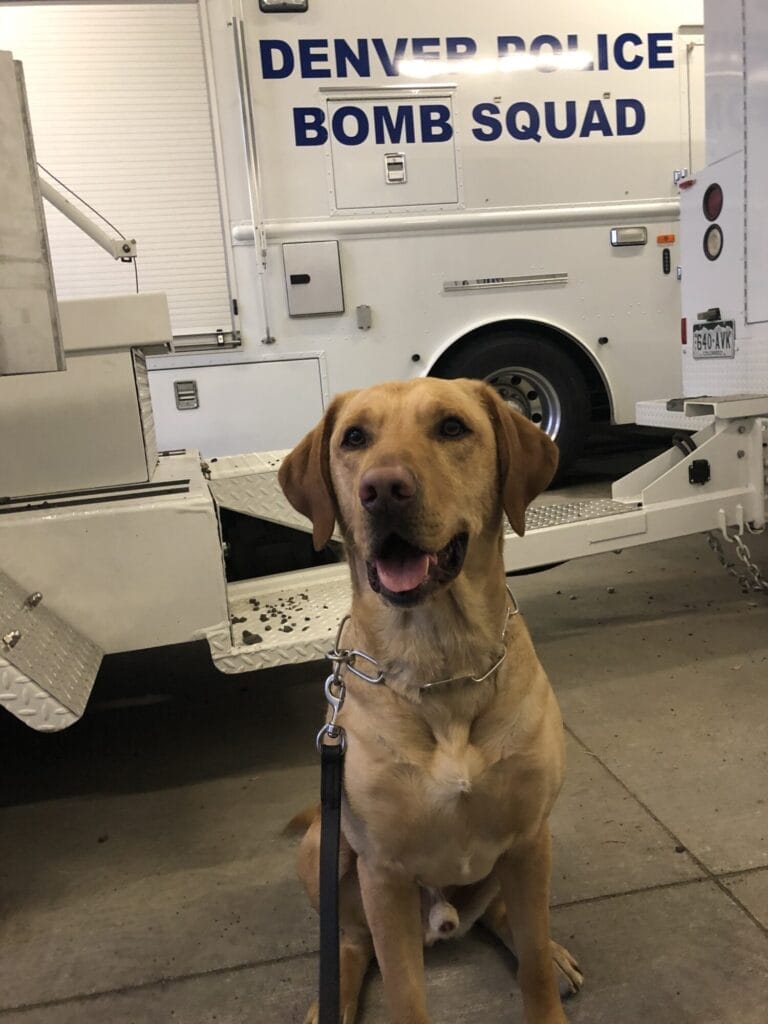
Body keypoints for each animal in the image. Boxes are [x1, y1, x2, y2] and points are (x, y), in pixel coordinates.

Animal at [279, 377, 583, 1024]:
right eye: (354, 438)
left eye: (451, 427)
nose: (382, 489)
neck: (441, 665)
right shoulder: (384, 873)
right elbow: (402, 990)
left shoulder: (530, 838)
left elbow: (534, 967)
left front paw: (545, 976)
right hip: (324, 850)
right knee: (350, 939)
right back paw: (332, 997)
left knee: (506, 918)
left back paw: (548, 949)